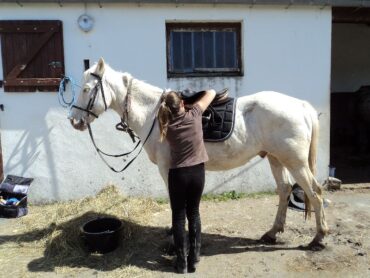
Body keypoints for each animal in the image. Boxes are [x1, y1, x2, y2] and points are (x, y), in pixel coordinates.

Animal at [70, 58, 330, 250]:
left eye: (86, 89)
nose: (73, 120)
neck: (155, 114)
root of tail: (301, 106)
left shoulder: (167, 169)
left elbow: (176, 202)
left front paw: (175, 238)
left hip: (295, 162)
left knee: (315, 193)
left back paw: (318, 238)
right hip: (276, 158)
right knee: (285, 190)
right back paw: (272, 233)